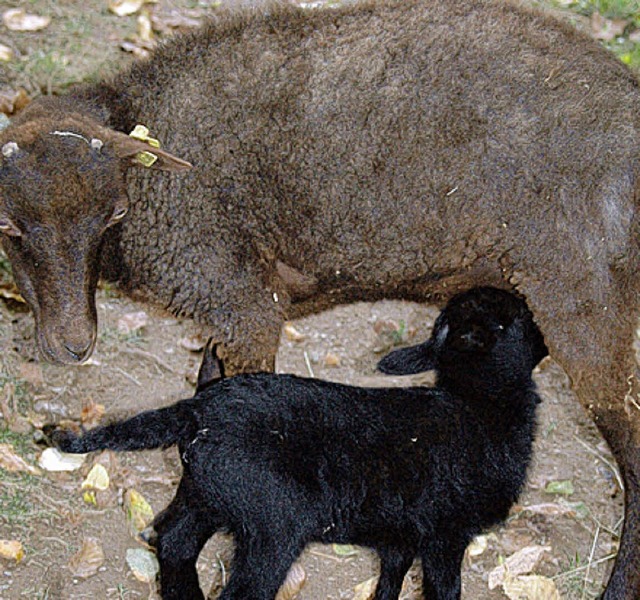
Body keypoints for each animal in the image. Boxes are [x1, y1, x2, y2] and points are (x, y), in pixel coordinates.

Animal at [52, 288, 548, 596]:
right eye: (524, 319)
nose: (546, 339)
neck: (480, 405)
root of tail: (198, 409)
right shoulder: (446, 535)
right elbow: (444, 591)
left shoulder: (400, 536)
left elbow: (388, 584)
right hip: (274, 522)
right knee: (237, 587)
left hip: (207, 492)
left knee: (172, 539)